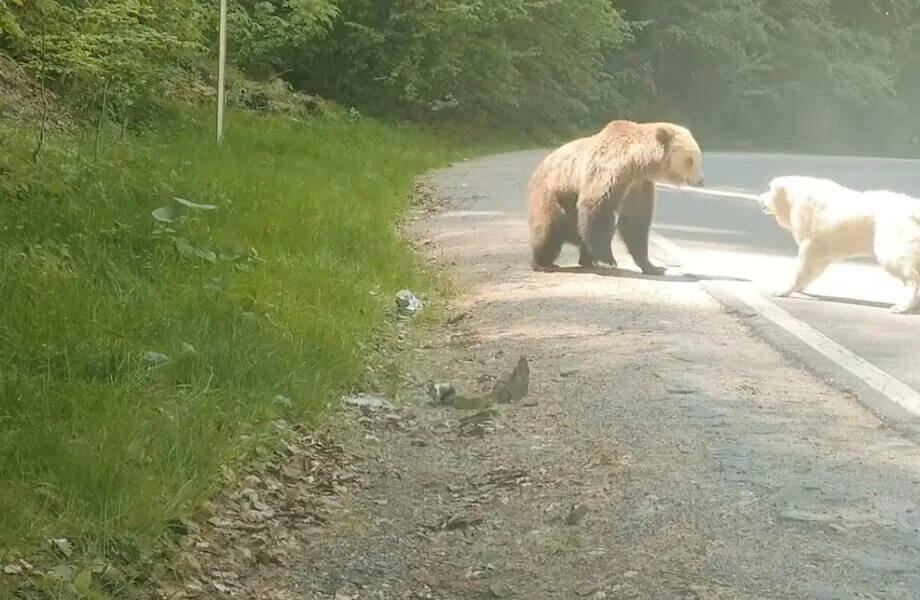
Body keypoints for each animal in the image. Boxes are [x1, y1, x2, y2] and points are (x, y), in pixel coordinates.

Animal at [524, 119, 704, 272]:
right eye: (690, 160)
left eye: (698, 158)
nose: (700, 181)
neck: (636, 163)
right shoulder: (609, 170)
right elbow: (597, 209)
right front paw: (608, 259)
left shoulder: (638, 184)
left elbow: (635, 221)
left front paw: (653, 267)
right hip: (552, 195)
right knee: (547, 230)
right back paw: (544, 263)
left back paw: (586, 260)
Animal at [760, 175, 920, 312]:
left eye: (769, 189)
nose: (760, 197)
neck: (791, 198)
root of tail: (913, 209)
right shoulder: (821, 251)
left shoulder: (809, 244)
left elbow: (800, 270)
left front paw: (785, 290)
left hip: (892, 251)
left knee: (912, 278)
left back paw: (904, 306)